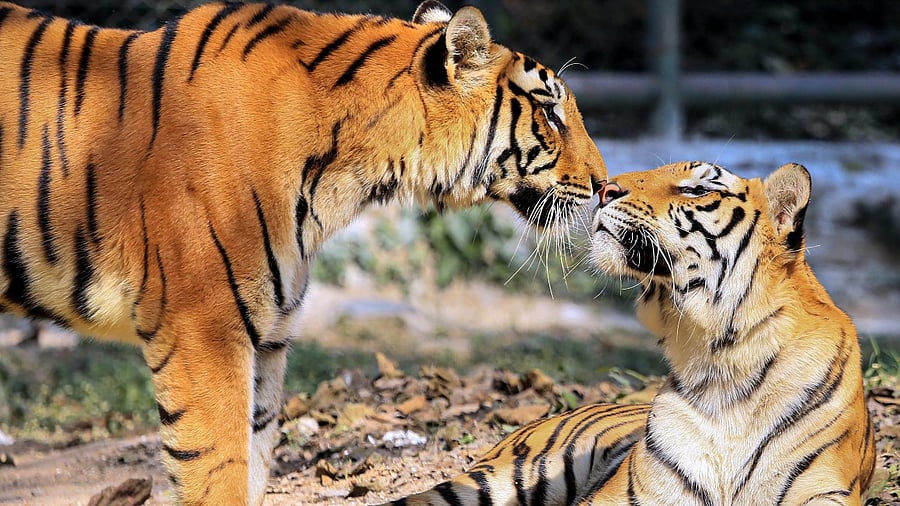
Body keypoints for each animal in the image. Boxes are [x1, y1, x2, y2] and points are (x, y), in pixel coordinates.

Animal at [0, 0, 607, 503]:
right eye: (552, 114)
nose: (604, 185)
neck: (349, 178)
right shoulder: (203, 329)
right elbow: (216, 468)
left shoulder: (266, 332)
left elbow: (253, 458)